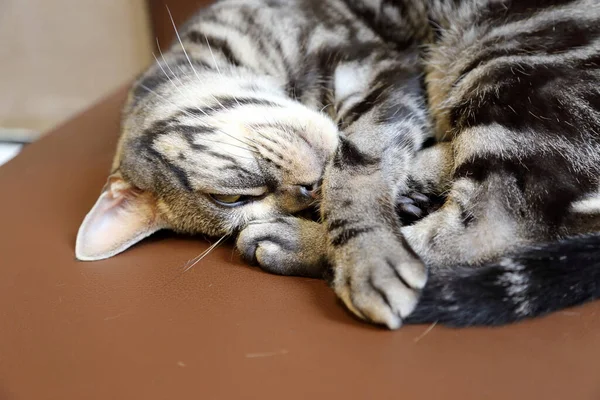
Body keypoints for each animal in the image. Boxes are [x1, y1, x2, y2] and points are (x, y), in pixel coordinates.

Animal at [75, 0, 600, 330]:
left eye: (230, 196)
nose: (308, 192)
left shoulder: (382, 71)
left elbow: (355, 169)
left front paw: (370, 250)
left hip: (511, 59)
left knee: (496, 226)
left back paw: (310, 248)